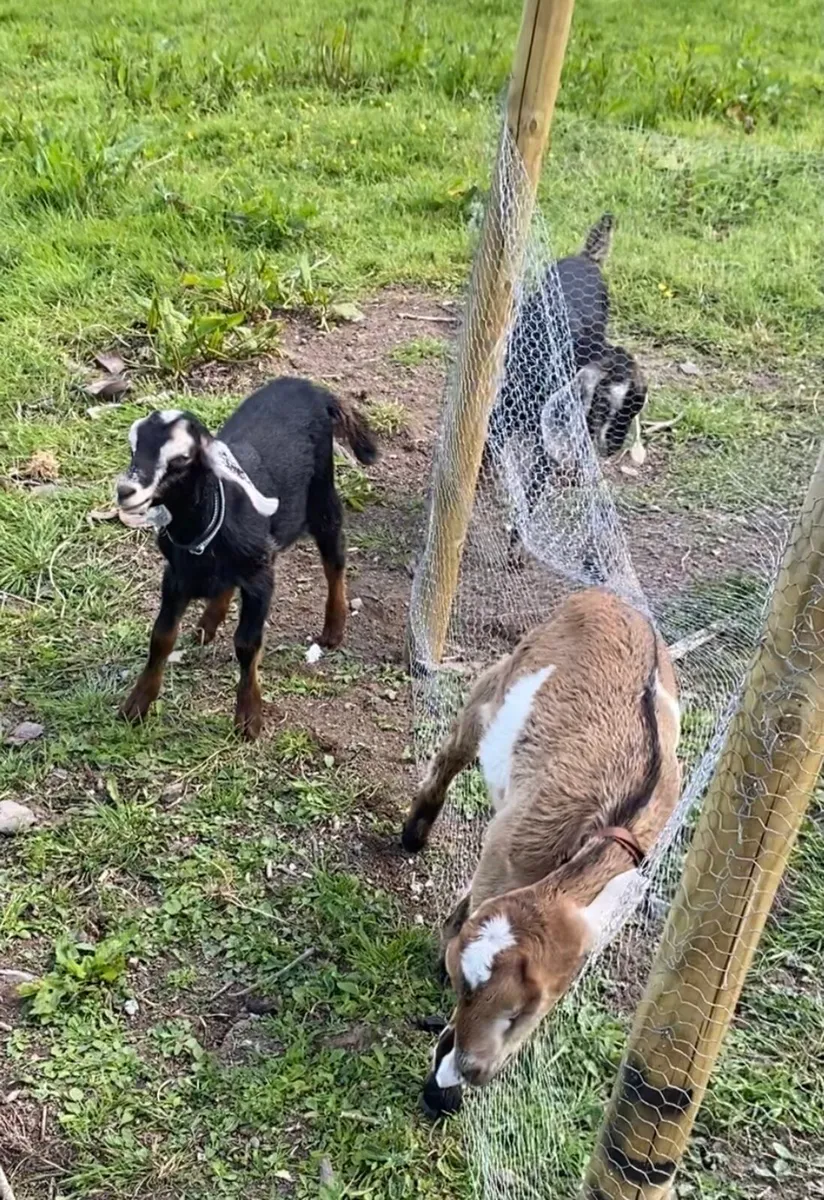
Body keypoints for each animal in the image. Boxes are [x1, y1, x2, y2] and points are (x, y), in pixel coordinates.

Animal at [115, 377, 378, 740]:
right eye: (133, 447)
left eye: (181, 459)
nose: (125, 491)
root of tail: (314, 389)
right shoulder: (175, 576)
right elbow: (161, 637)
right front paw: (136, 705)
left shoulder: (260, 579)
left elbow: (247, 643)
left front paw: (248, 717)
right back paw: (208, 623)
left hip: (321, 496)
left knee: (334, 556)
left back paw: (333, 628)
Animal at [400, 588, 680, 1114]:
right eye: (465, 988)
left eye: (523, 1012)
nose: (473, 1069)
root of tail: (606, 596)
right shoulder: (508, 849)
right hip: (499, 681)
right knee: (456, 748)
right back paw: (415, 831)